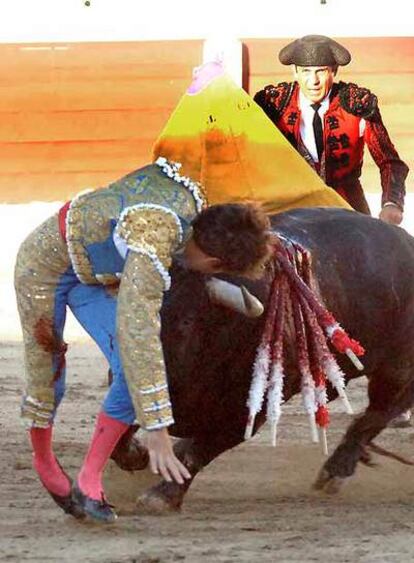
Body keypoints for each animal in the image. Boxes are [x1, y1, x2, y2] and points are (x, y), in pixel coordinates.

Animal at [117, 208, 414, 512]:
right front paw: (141, 455)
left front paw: (162, 495)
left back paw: (337, 469)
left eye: (186, 321)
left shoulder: (247, 413)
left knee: (380, 411)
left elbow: (201, 450)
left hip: (396, 369)